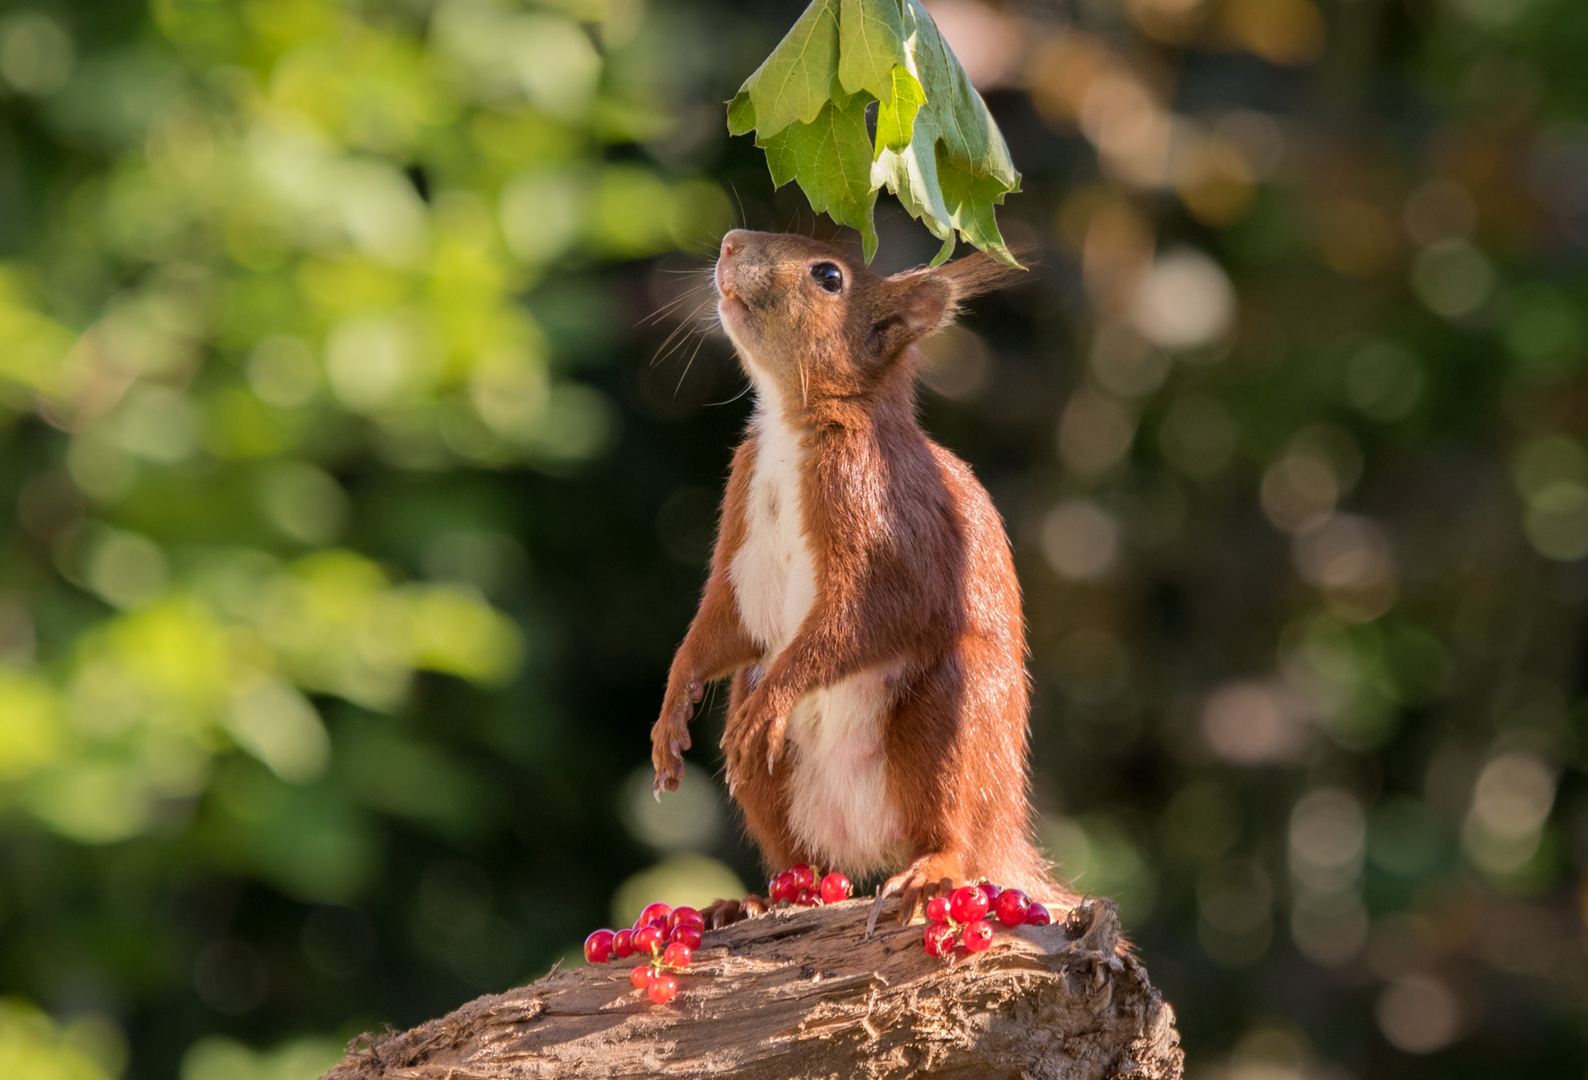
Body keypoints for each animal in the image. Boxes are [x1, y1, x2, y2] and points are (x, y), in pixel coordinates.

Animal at [647, 227, 1079, 927]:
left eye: (829, 276)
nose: (731, 241)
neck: (790, 429)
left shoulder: (882, 514)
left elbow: (864, 618)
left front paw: (775, 697)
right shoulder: (742, 525)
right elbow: (722, 625)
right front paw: (671, 710)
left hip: (954, 717)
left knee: (951, 829)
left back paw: (931, 869)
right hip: (775, 785)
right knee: (799, 855)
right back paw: (755, 901)